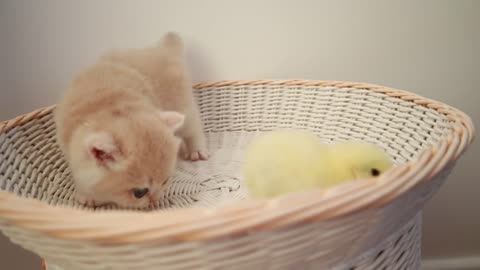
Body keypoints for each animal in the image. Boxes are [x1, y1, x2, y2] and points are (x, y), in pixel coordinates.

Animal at [54, 32, 208, 209]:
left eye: (165, 182)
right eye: (139, 193)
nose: (155, 200)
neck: (109, 106)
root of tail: (162, 49)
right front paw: (86, 195)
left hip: (182, 105)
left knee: (193, 128)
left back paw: (197, 150)